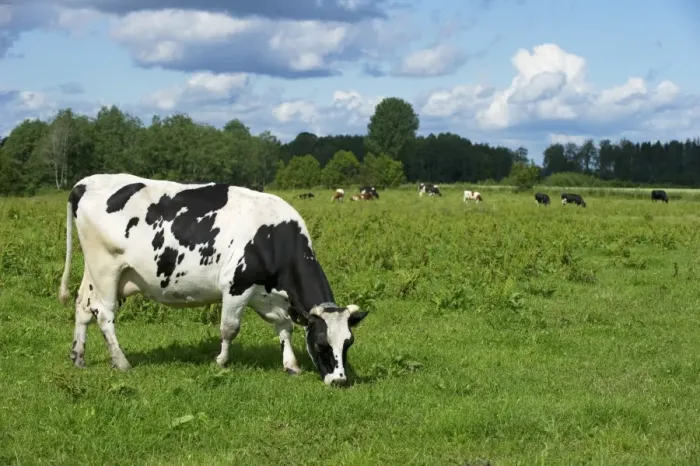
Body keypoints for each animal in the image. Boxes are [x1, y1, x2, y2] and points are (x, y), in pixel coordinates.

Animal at [57, 174, 369, 386]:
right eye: (321, 343)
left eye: (348, 343)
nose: (339, 380)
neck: (274, 237)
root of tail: (85, 183)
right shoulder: (236, 286)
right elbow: (229, 329)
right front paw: (220, 362)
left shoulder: (267, 295)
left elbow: (285, 327)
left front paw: (291, 365)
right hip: (106, 269)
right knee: (103, 313)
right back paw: (121, 362)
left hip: (94, 271)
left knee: (83, 306)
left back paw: (78, 357)